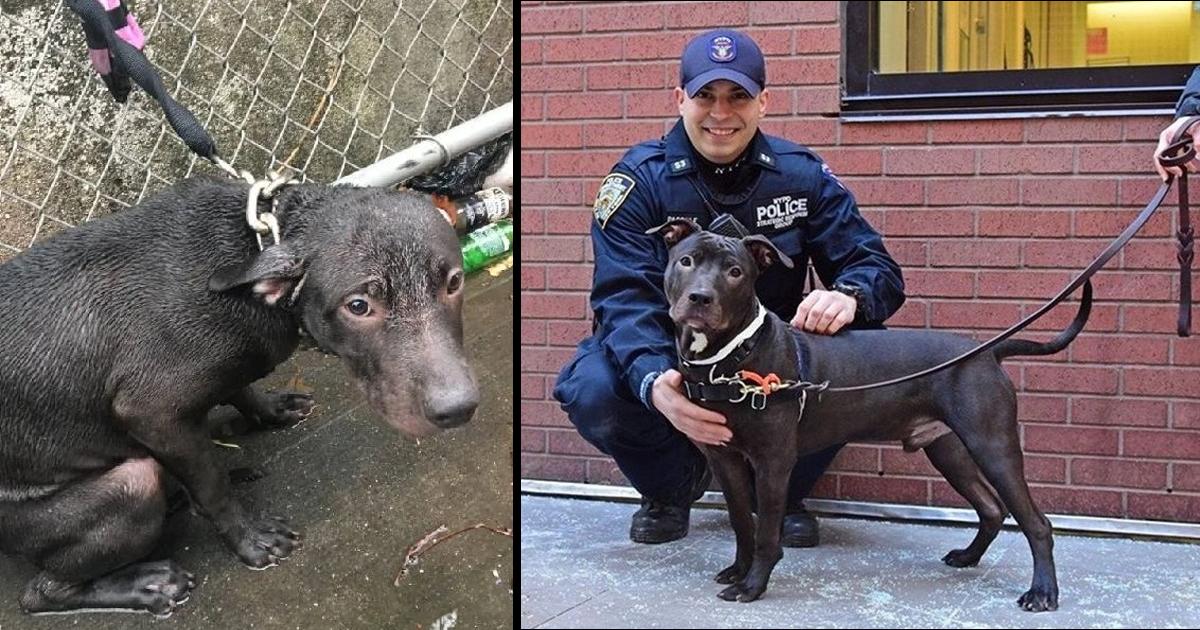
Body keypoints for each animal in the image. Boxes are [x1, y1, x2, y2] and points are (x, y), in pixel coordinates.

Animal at [0, 175, 477, 614]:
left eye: (454, 283)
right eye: (358, 305)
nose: (458, 409)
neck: (257, 250)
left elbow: (240, 389)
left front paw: (270, 409)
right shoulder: (152, 412)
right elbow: (214, 487)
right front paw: (251, 540)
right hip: (129, 485)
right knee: (40, 593)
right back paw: (145, 586)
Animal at [657, 219, 1089, 609]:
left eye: (735, 272)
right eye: (686, 261)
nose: (700, 298)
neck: (732, 358)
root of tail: (986, 352)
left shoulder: (773, 463)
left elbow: (765, 532)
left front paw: (752, 585)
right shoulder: (725, 458)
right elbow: (741, 523)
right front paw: (738, 569)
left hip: (993, 446)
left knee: (1036, 523)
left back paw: (1042, 592)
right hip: (949, 450)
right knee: (991, 508)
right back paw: (968, 557)